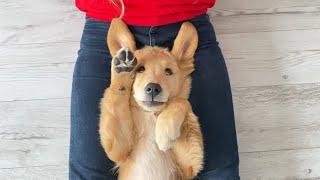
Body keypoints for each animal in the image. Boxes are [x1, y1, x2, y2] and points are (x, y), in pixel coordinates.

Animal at [100, 19, 204, 179]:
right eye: (140, 69)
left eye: (168, 72)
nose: (153, 88)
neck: (150, 115)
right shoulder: (119, 149)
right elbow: (116, 96)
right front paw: (123, 70)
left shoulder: (188, 168)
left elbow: (181, 101)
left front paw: (165, 131)